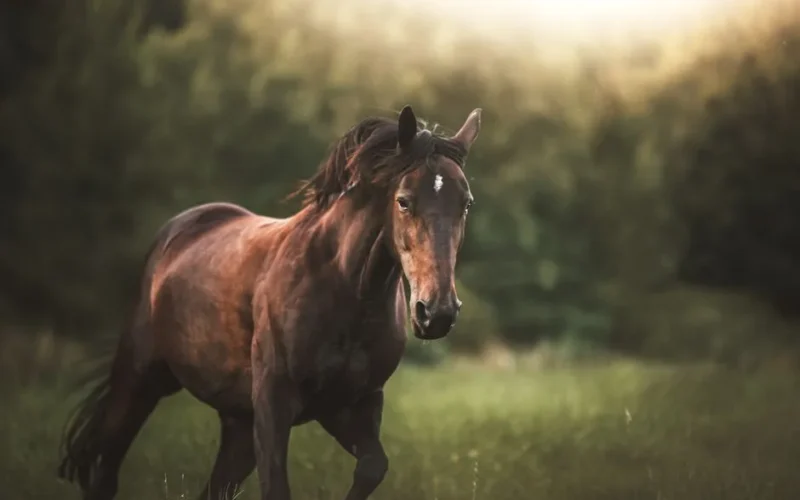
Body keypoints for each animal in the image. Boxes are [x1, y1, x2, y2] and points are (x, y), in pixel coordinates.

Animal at [57, 105, 482, 500]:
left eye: (465, 203)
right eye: (404, 201)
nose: (436, 312)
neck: (345, 291)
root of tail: (174, 233)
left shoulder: (351, 406)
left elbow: (373, 467)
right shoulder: (275, 404)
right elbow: (278, 487)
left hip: (238, 426)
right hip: (138, 382)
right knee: (104, 473)